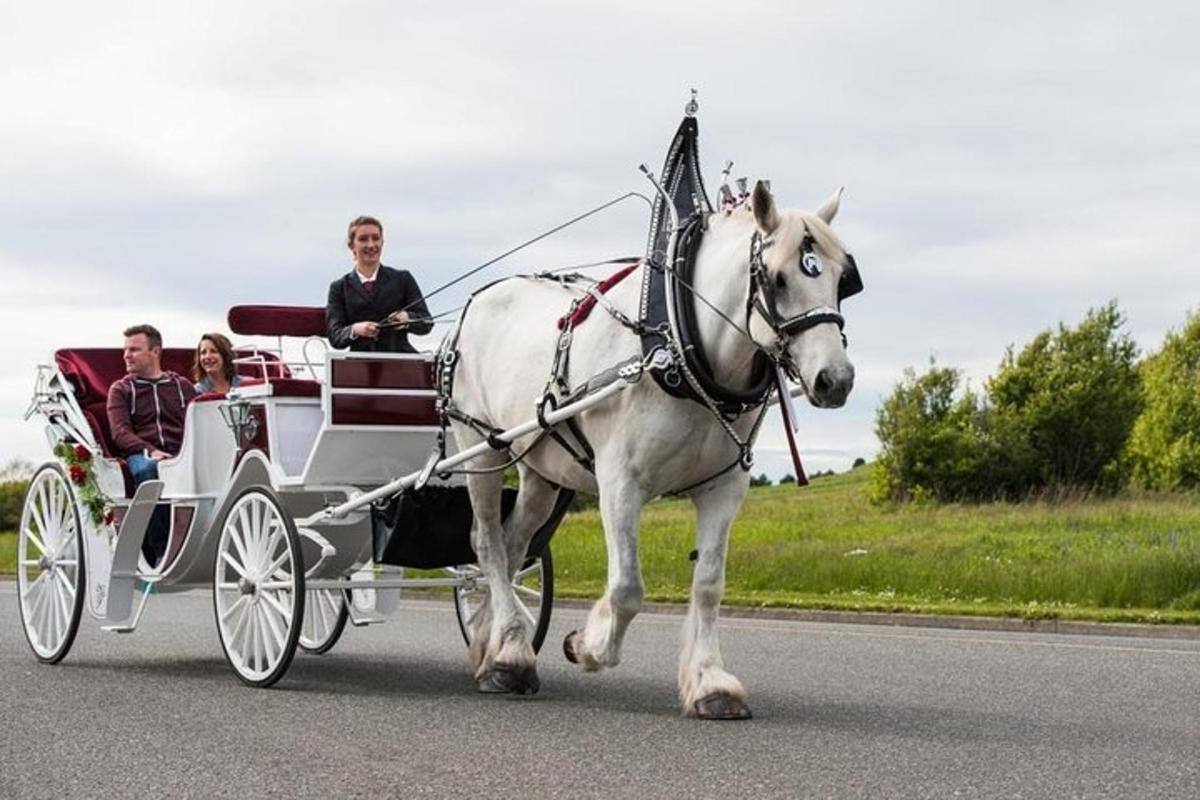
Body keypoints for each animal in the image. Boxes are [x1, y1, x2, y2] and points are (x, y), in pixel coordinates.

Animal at [448, 181, 854, 719]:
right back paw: (510, 650)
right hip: (479, 448)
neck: (680, 348)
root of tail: (476, 301)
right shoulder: (620, 482)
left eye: (841, 277)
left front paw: (711, 682)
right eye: (778, 278)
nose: (836, 380)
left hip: (540, 468)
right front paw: (588, 646)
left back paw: (495, 644)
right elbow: (626, 587)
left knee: (515, 545)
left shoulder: (724, 487)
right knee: (488, 544)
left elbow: (709, 584)